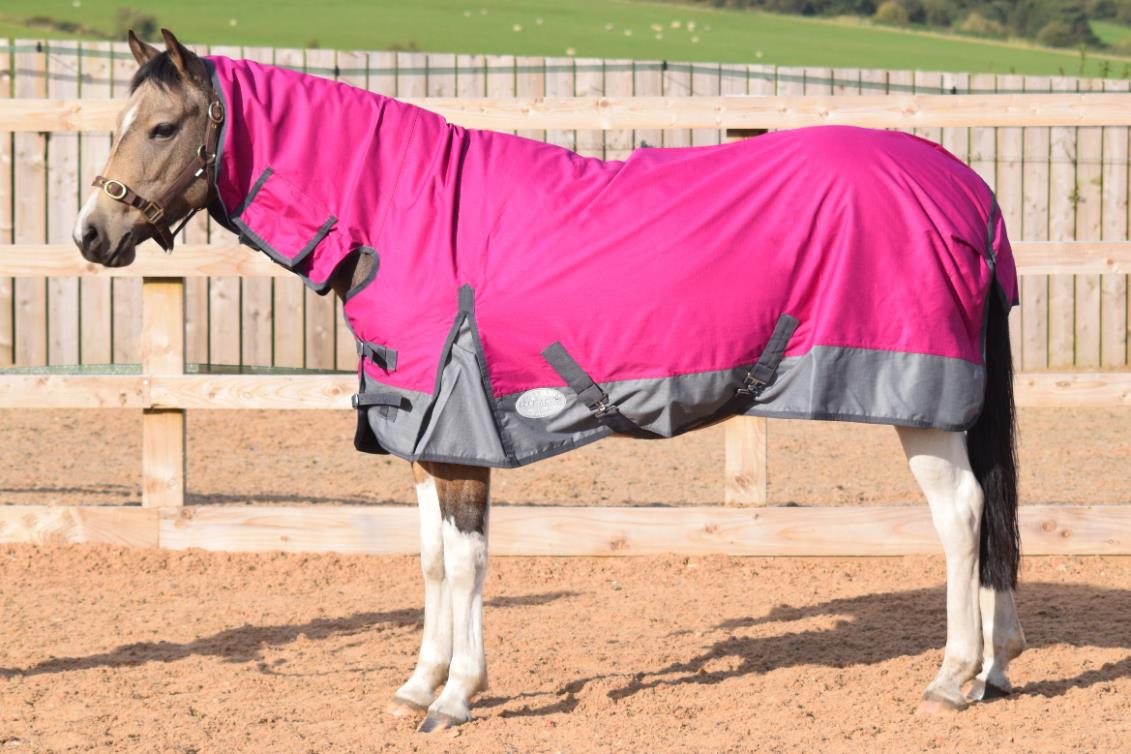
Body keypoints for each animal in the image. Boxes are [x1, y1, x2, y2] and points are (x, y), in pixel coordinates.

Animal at [73, 29, 1026, 733]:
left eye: (162, 128)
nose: (90, 233)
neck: (405, 216)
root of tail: (966, 189)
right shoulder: (422, 434)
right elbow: (431, 561)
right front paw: (418, 685)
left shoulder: (460, 434)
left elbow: (466, 563)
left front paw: (457, 696)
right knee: (987, 516)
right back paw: (995, 668)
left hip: (921, 404)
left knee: (960, 515)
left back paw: (951, 678)